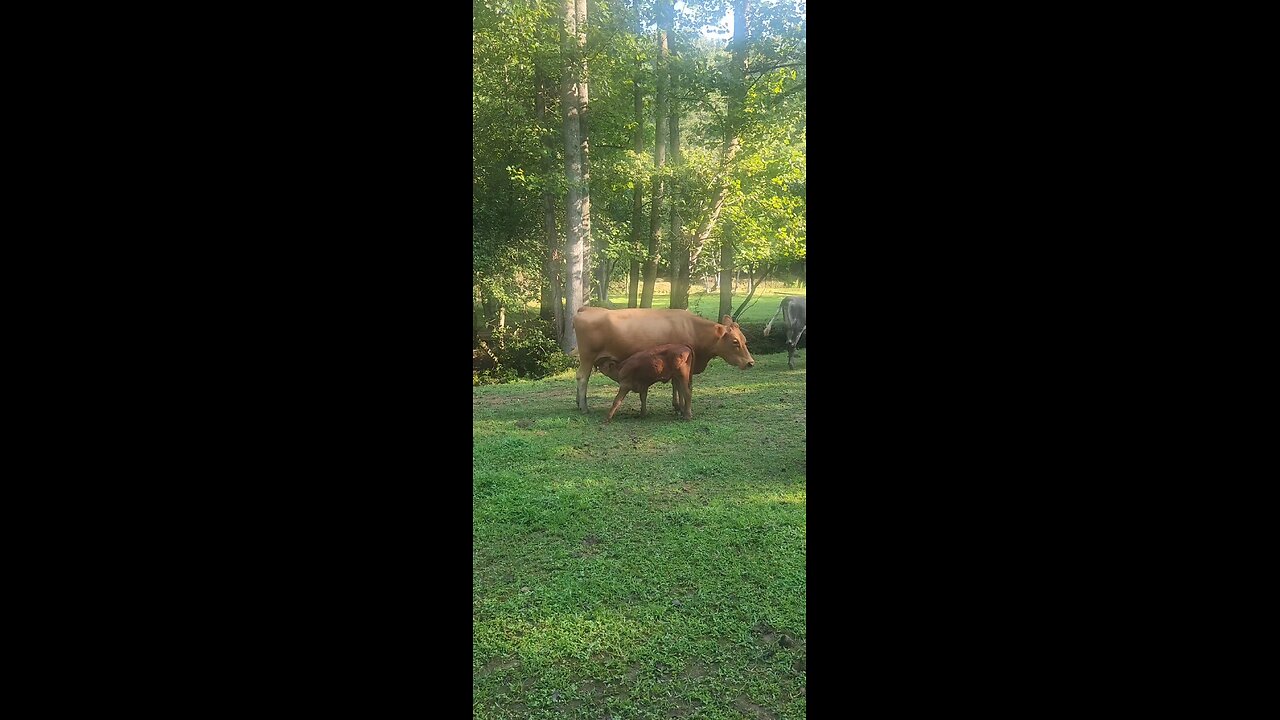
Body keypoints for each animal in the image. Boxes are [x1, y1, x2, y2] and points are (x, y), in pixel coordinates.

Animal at [571, 307, 755, 412]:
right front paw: (680, 407)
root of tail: (586, 309)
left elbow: (676, 385)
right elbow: (679, 385)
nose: (750, 362)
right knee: (582, 377)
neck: (693, 329)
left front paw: (677, 405)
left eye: (745, 340)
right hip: (587, 357)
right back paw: (584, 407)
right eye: (735, 342)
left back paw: (579, 403)